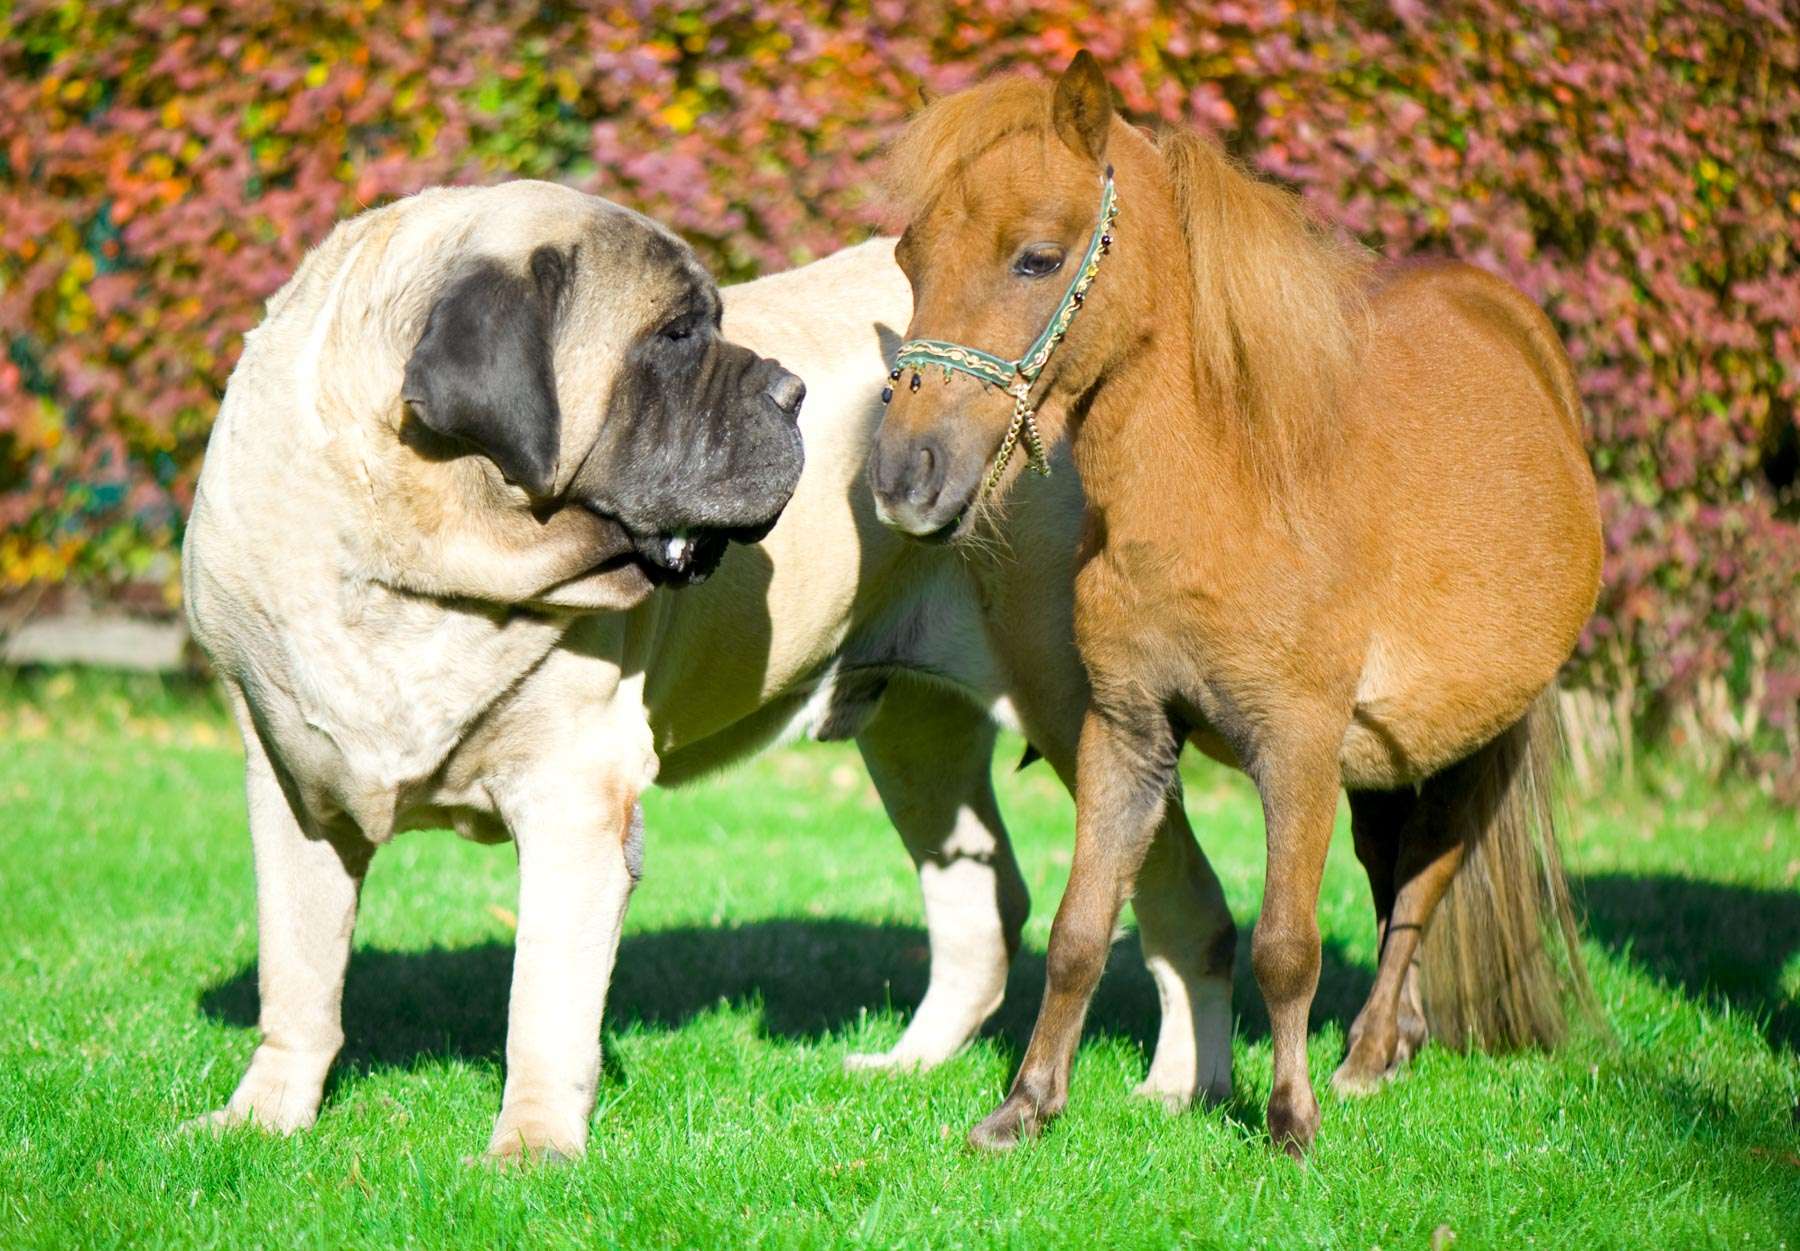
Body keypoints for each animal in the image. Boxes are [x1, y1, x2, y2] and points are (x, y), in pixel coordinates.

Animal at [182, 180, 1238, 1159]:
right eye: (676, 335)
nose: (790, 391)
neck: (417, 558)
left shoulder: (575, 798)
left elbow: (543, 1003)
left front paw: (530, 1147)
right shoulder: (292, 786)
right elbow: (297, 975)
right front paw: (261, 1118)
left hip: (1085, 715)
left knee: (1184, 904)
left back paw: (1180, 1090)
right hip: (916, 734)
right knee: (980, 902)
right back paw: (906, 1065)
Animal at [871, 56, 1605, 1152]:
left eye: (1037, 258)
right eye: (911, 258)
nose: (904, 476)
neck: (1223, 491)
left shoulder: (1294, 744)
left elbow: (1286, 947)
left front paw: (1290, 1122)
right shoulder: (1126, 732)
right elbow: (1082, 929)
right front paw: (1026, 1107)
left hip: (1478, 736)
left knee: (1427, 874)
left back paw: (1365, 1058)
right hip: (1387, 754)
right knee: (1391, 866)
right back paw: (1396, 1041)